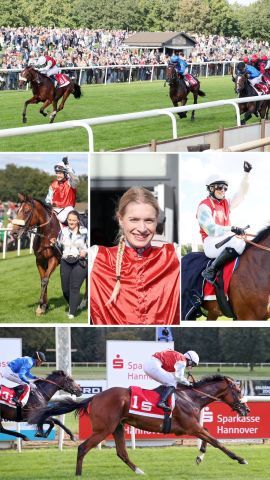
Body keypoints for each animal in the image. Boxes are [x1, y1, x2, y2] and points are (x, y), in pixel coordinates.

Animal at [31, 376, 249, 476]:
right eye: (238, 391)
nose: (246, 409)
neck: (191, 397)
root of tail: (95, 397)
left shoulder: (192, 427)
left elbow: (209, 438)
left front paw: (199, 456)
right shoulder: (191, 427)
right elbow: (217, 441)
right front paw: (240, 459)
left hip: (117, 427)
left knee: (121, 452)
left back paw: (139, 471)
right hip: (104, 429)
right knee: (83, 447)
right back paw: (78, 474)